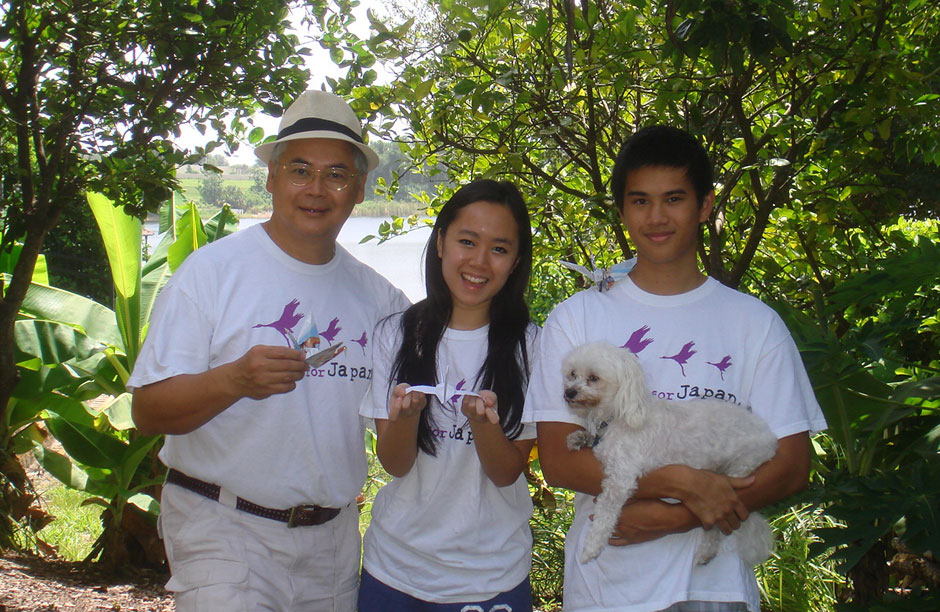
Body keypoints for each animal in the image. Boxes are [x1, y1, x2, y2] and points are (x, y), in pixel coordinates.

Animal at [560, 340, 776, 564]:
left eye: (594, 377)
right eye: (572, 374)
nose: (569, 392)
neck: (618, 415)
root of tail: (769, 437)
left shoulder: (621, 478)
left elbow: (605, 512)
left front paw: (592, 547)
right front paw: (579, 437)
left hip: (740, 469)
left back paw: (706, 550)